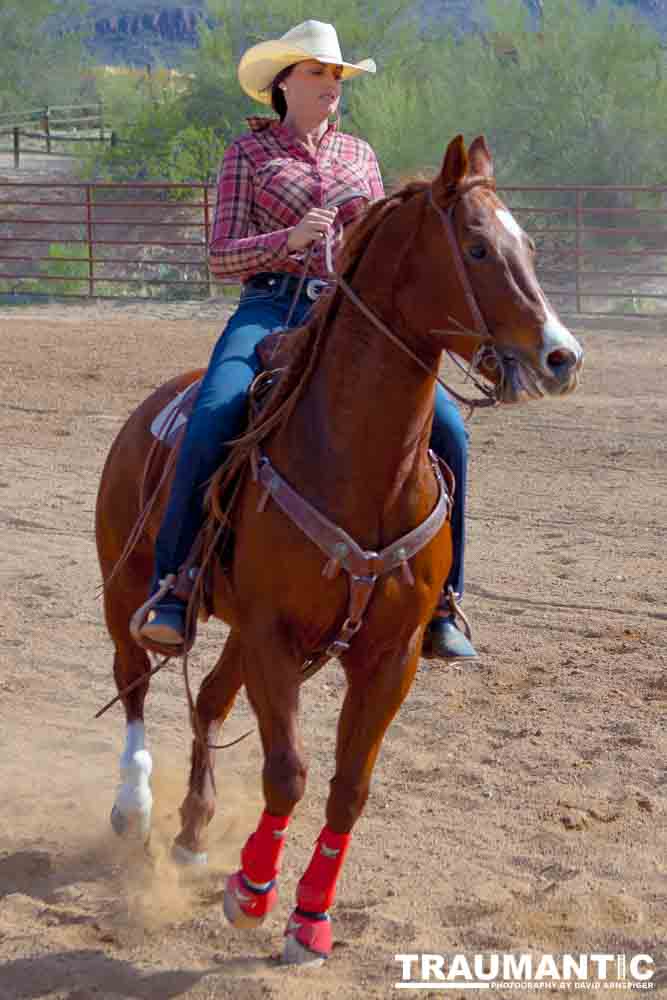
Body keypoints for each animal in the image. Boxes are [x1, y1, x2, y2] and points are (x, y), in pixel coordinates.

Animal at [95, 137, 584, 964]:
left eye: (529, 245)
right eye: (477, 248)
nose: (561, 358)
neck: (357, 464)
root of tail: (153, 406)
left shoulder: (387, 655)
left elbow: (349, 789)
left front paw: (310, 916)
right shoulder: (272, 636)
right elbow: (287, 772)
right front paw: (252, 894)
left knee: (209, 700)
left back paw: (192, 829)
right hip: (126, 586)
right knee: (132, 680)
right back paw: (133, 804)